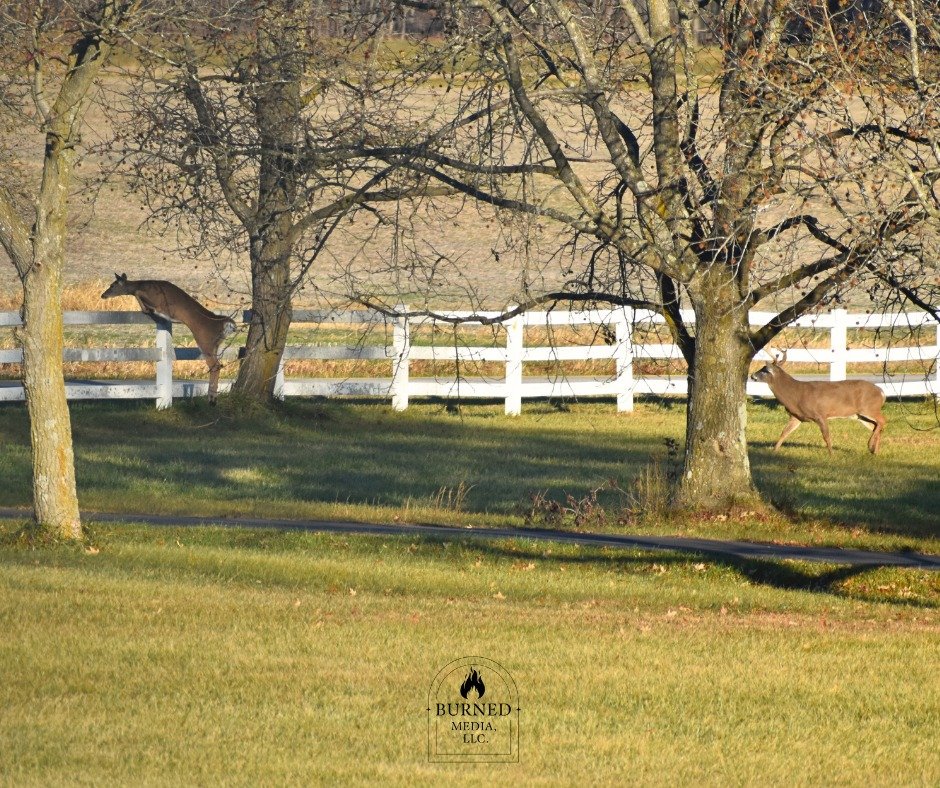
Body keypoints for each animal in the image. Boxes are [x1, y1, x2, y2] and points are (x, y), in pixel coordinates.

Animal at [101, 273, 236, 404]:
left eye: (112, 285)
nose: (103, 295)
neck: (143, 284)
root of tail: (225, 323)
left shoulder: (157, 300)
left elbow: (138, 293)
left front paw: (146, 309)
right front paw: (146, 309)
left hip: (204, 340)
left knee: (215, 366)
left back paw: (211, 398)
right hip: (216, 344)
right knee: (218, 364)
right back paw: (213, 398)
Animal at [750, 352, 886, 455]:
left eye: (764, 370)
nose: (752, 375)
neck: (795, 395)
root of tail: (881, 392)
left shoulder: (820, 414)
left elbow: (826, 436)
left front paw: (831, 455)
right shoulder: (796, 417)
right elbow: (784, 433)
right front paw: (774, 451)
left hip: (869, 408)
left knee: (883, 420)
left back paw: (870, 446)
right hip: (859, 415)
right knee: (876, 426)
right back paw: (875, 451)